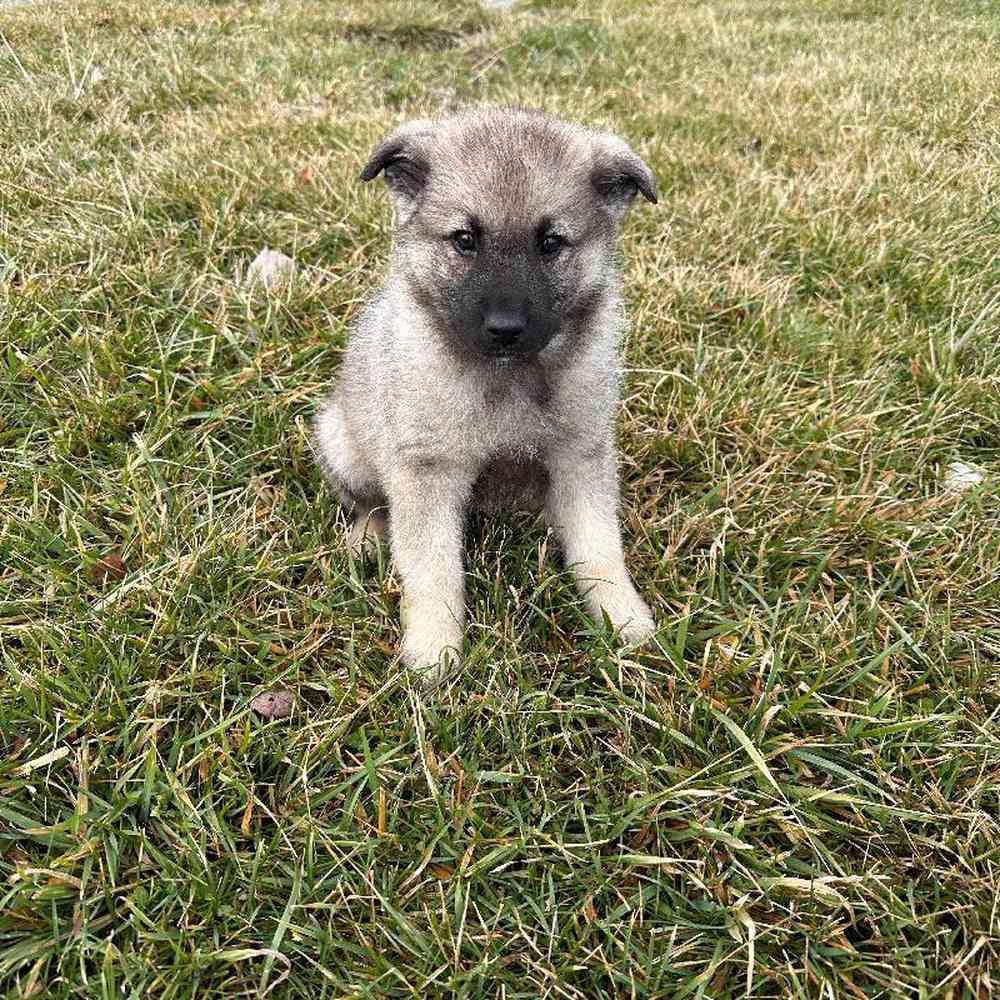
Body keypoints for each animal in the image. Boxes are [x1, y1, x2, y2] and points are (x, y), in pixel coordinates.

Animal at [312, 111, 656, 688]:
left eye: (551, 243)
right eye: (465, 240)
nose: (505, 329)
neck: (507, 378)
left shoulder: (581, 455)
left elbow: (599, 548)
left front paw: (623, 617)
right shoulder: (426, 471)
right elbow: (432, 567)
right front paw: (434, 649)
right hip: (342, 443)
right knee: (372, 503)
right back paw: (366, 538)